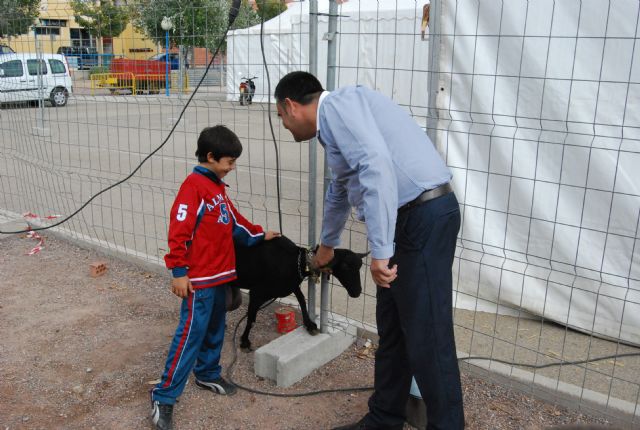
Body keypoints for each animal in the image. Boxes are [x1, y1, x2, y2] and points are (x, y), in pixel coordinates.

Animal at [230, 237, 364, 352]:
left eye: (360, 266)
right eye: (345, 266)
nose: (357, 292)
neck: (295, 262)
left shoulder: (293, 285)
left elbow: (302, 300)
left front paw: (310, 325)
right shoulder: (256, 293)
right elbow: (251, 319)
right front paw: (244, 342)